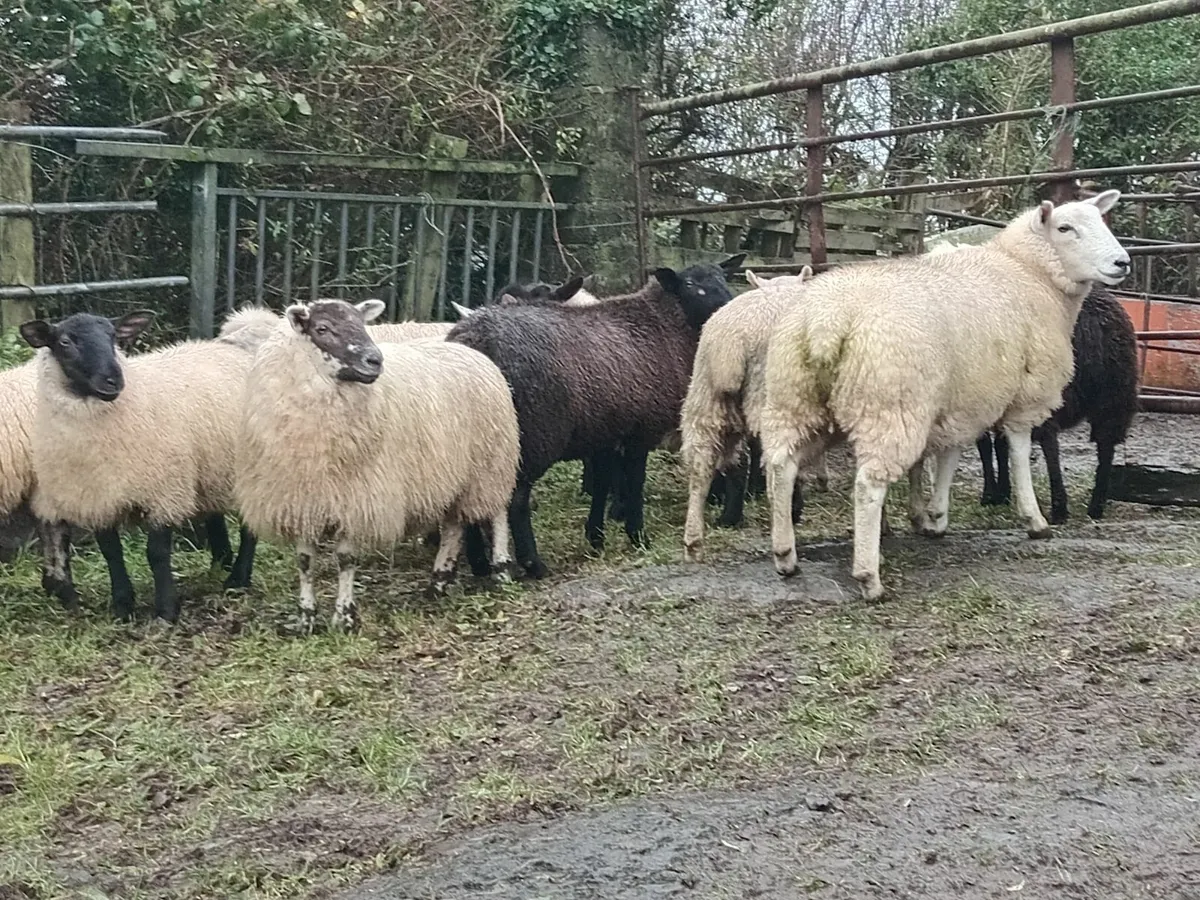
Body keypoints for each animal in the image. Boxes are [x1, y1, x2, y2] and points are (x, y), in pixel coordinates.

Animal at [20, 311, 260, 622]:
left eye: (113, 337)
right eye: (65, 342)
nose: (113, 381)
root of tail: (237, 349)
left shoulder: (164, 493)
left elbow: (156, 554)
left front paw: (165, 611)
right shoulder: (100, 497)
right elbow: (111, 552)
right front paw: (122, 605)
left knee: (250, 526)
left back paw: (238, 579)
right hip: (212, 468)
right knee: (215, 515)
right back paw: (221, 564)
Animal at [233, 299, 520, 632]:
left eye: (363, 324)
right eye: (322, 328)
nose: (375, 360)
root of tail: (470, 352)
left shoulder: (357, 498)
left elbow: (346, 560)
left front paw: (344, 618)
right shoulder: (303, 501)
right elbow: (304, 562)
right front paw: (306, 618)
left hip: (491, 464)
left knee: (497, 513)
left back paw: (501, 569)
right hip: (454, 474)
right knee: (453, 528)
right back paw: (438, 581)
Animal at [447, 257, 742, 579]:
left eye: (724, 277)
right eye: (690, 285)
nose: (730, 307)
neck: (666, 326)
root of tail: (474, 338)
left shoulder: (605, 433)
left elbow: (601, 484)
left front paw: (596, 537)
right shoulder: (639, 431)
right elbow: (634, 482)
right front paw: (638, 537)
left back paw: (479, 563)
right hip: (533, 434)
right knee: (516, 500)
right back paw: (533, 564)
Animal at [681, 267, 815, 561]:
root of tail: (732, 342)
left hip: (705, 393)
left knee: (701, 464)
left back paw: (696, 539)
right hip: (770, 391)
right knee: (777, 463)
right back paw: (789, 516)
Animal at [976, 282, 1138, 523]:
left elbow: (988, 446)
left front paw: (992, 495)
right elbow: (1000, 444)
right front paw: (1002, 493)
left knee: (1050, 443)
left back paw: (1059, 509)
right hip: (1115, 392)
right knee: (1106, 445)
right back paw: (1095, 507)